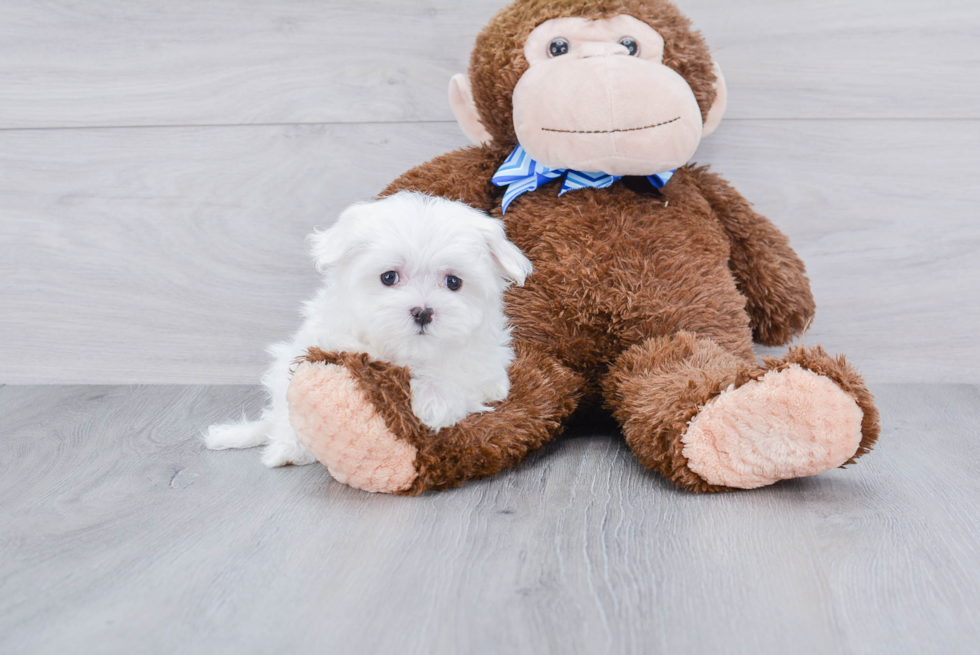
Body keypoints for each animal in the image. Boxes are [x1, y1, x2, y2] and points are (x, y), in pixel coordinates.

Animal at [202, 192, 532, 468]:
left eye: (454, 282)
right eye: (388, 277)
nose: (423, 312)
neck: (408, 351)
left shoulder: (486, 370)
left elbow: (459, 378)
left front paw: (434, 403)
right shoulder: (324, 339)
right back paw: (285, 449)